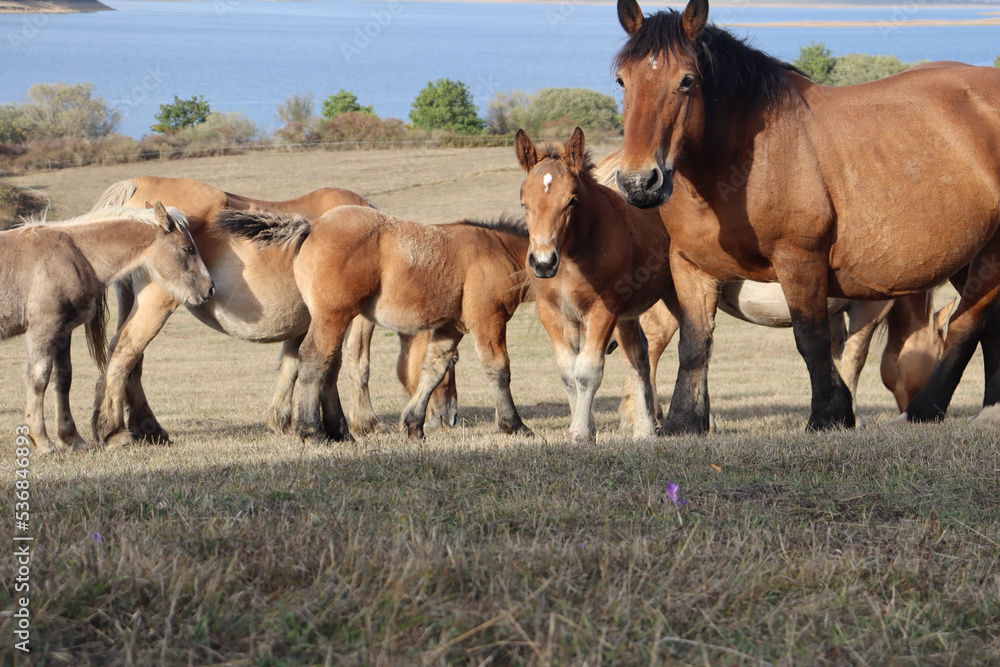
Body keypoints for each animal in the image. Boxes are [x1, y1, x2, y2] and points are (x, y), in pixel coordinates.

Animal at [0, 204, 213, 454]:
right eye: (188, 249)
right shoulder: (44, 327)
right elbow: (39, 378)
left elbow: (63, 379)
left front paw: (72, 438)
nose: (209, 289)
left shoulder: (63, 331)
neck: (73, 255)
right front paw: (42, 441)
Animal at [90, 177, 458, 446]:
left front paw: (285, 420)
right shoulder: (349, 319)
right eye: (453, 361)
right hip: (157, 304)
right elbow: (347, 365)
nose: (450, 417)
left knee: (130, 361)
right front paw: (355, 424)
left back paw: (146, 428)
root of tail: (137, 185)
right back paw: (114, 430)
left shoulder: (311, 321)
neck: (382, 243)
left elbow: (294, 365)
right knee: (125, 352)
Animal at [216, 206, 536, 440]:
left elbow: (433, 369)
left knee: (328, 364)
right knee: (315, 359)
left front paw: (413, 425)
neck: (501, 249)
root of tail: (313, 225)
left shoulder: (451, 326)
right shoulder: (488, 320)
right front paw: (514, 424)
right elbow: (499, 370)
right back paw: (312, 431)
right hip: (333, 316)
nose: (451, 418)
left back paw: (339, 432)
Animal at [520, 129, 676, 446]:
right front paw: (582, 428)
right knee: (638, 357)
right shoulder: (552, 313)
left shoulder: (604, 309)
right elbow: (568, 372)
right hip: (628, 316)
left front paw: (581, 433)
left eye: (571, 201)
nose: (543, 262)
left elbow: (588, 370)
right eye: (524, 203)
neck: (570, 257)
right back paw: (644, 429)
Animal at [608, 0, 1000, 430]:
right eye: (622, 81)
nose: (639, 182)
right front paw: (683, 423)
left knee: (967, 326)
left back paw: (925, 409)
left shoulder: (801, 262)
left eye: (686, 80)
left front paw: (828, 415)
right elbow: (695, 345)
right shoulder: (690, 267)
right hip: (967, 259)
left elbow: (814, 342)